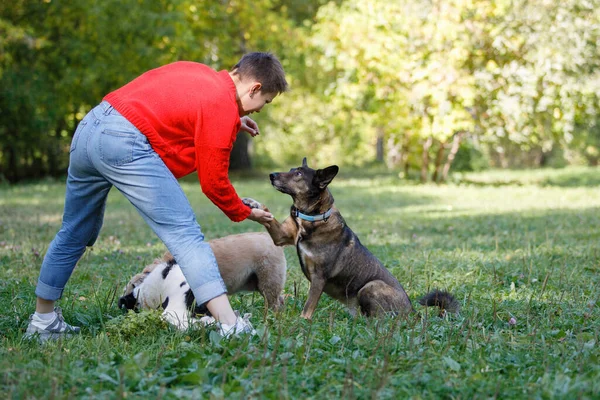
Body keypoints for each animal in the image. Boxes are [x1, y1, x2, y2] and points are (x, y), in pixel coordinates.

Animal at [241, 159, 458, 318]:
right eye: (292, 169)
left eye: (298, 174)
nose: (271, 175)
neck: (313, 218)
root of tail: (413, 313)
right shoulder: (281, 236)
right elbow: (268, 214)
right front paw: (253, 203)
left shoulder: (319, 277)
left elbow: (308, 307)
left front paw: (302, 323)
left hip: (370, 287)